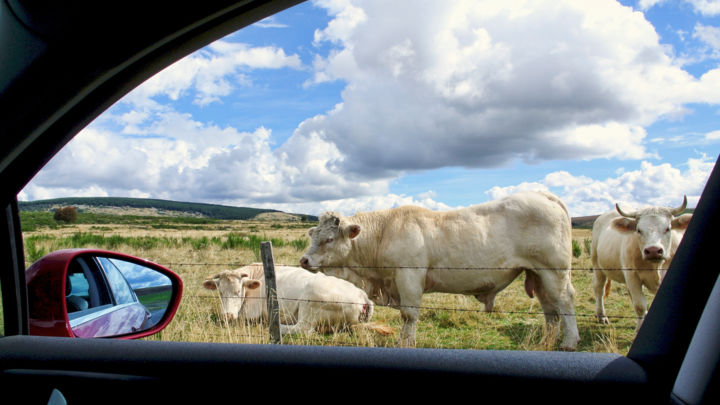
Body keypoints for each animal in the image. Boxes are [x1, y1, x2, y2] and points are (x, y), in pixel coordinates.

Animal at [202, 262, 394, 334]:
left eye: (238, 291)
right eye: (220, 292)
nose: (227, 316)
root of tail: (363, 297)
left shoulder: (250, 314)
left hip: (310, 304)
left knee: (302, 329)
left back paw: (275, 326)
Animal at [298, 191, 580, 348]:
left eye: (329, 239)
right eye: (314, 235)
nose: (304, 261)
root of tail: (542, 195)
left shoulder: (409, 276)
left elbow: (409, 315)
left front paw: (407, 343)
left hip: (554, 270)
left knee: (564, 303)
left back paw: (569, 343)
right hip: (537, 274)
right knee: (550, 309)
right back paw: (546, 342)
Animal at [592, 196, 692, 332]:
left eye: (668, 228)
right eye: (638, 230)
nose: (653, 250)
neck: (656, 266)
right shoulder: (632, 276)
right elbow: (639, 305)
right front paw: (639, 328)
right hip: (598, 266)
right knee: (599, 289)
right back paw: (601, 316)